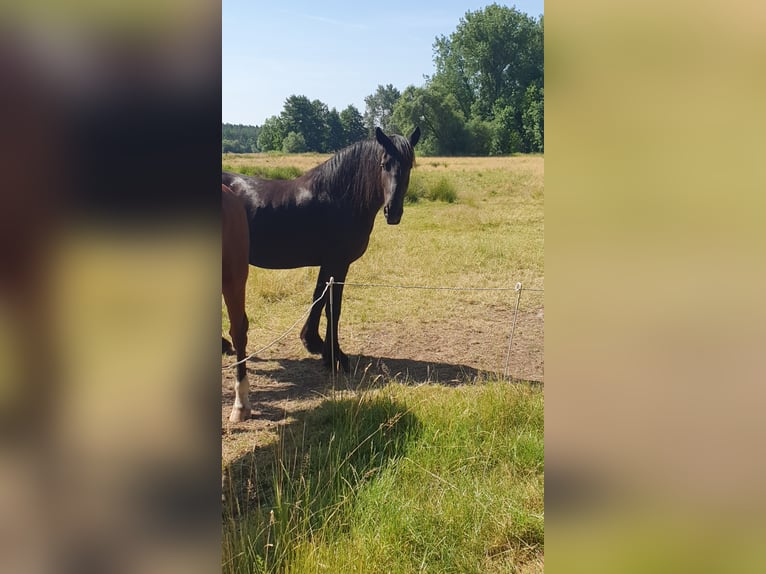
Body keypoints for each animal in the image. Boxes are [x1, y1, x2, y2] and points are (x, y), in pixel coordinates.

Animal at [222, 126, 420, 422]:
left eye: (409, 166)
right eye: (384, 164)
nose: (392, 212)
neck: (339, 198)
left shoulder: (331, 265)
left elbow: (320, 301)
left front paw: (317, 344)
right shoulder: (337, 263)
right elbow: (331, 308)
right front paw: (333, 354)